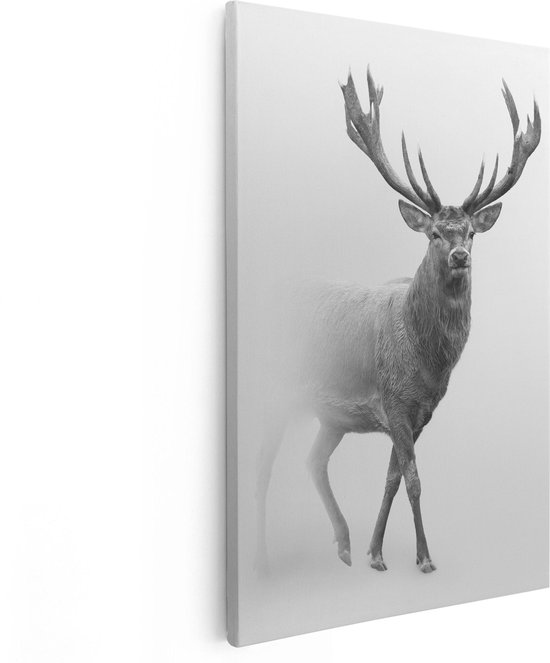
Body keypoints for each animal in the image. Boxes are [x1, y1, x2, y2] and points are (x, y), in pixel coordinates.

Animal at [255, 67, 541, 574]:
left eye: (471, 232)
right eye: (434, 233)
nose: (461, 255)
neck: (428, 361)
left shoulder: (418, 413)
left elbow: (391, 478)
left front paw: (375, 552)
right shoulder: (394, 401)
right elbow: (414, 480)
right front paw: (424, 558)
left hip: (331, 417)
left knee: (312, 460)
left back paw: (344, 545)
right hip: (276, 388)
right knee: (265, 465)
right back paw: (265, 560)